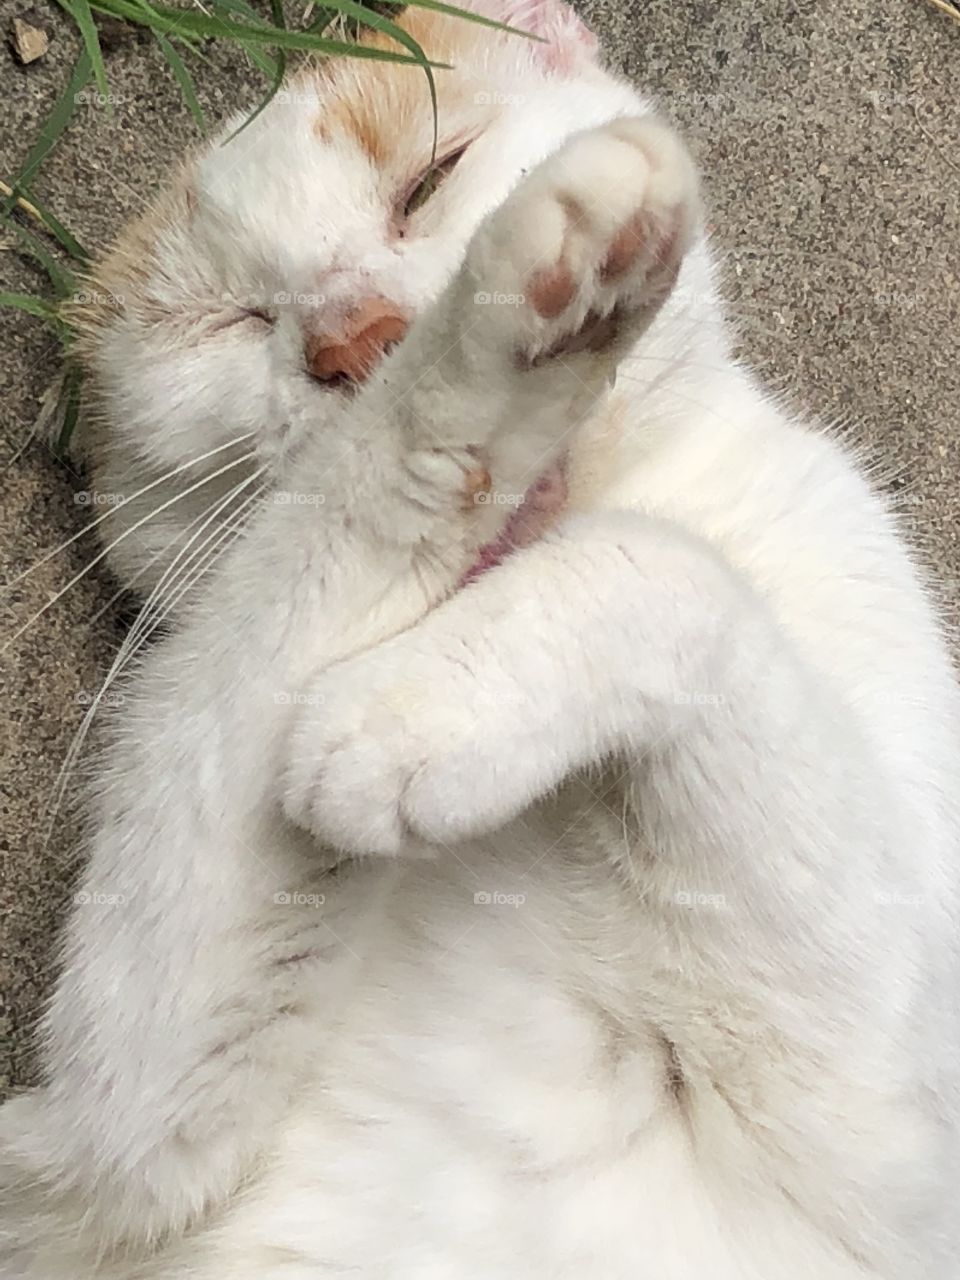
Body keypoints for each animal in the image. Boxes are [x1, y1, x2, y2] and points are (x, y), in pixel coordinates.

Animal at [1, 2, 960, 1280]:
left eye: (429, 180)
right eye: (224, 322)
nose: (354, 339)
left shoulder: (872, 1120)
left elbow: (679, 578)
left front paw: (411, 714)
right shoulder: (124, 1138)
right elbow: (302, 560)